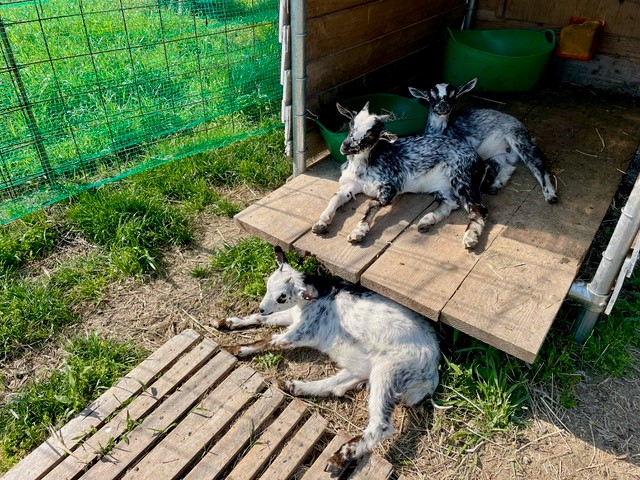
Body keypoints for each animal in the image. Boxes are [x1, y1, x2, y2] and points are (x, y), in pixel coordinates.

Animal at [212, 249, 442, 474]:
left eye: (282, 297)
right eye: (268, 284)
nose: (262, 307)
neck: (316, 297)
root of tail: (431, 374)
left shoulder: (302, 332)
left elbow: (270, 340)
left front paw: (237, 348)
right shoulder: (293, 317)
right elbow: (262, 321)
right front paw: (226, 321)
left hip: (389, 371)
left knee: (381, 425)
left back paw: (341, 456)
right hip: (366, 368)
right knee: (337, 386)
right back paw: (293, 386)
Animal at [312, 102, 488, 249]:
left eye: (371, 134)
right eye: (351, 125)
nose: (346, 147)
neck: (365, 163)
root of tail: (479, 159)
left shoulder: (391, 185)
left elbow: (372, 204)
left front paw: (358, 232)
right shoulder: (351, 184)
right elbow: (336, 197)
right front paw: (321, 222)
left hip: (462, 179)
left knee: (478, 209)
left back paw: (470, 237)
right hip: (440, 187)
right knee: (451, 203)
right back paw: (427, 220)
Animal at [412, 77, 556, 204]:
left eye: (453, 96)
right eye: (431, 97)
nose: (442, 107)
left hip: (518, 139)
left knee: (538, 164)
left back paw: (550, 195)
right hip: (498, 154)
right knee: (507, 167)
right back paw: (496, 185)